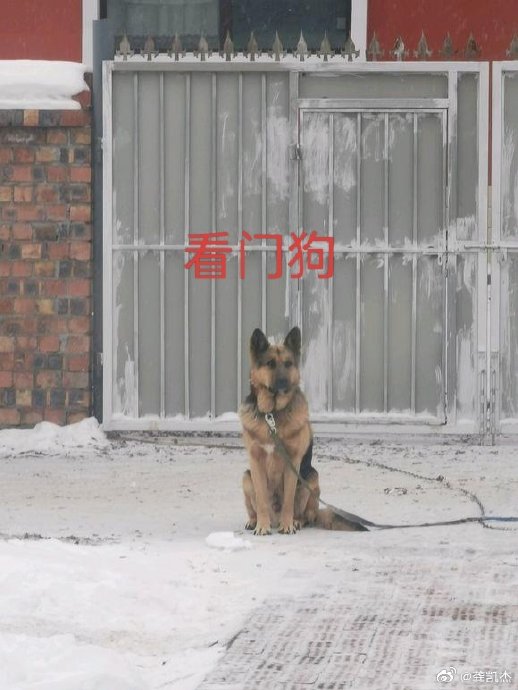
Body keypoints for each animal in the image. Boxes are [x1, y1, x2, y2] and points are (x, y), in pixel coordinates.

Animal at [240, 326, 358, 536]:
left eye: (288, 364)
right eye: (270, 363)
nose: (283, 383)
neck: (273, 414)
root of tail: (275, 518)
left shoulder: (292, 462)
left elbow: (289, 499)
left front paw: (288, 525)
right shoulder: (256, 461)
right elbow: (261, 500)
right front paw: (262, 526)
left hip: (310, 478)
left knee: (306, 515)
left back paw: (295, 521)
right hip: (246, 478)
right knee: (256, 506)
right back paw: (255, 521)